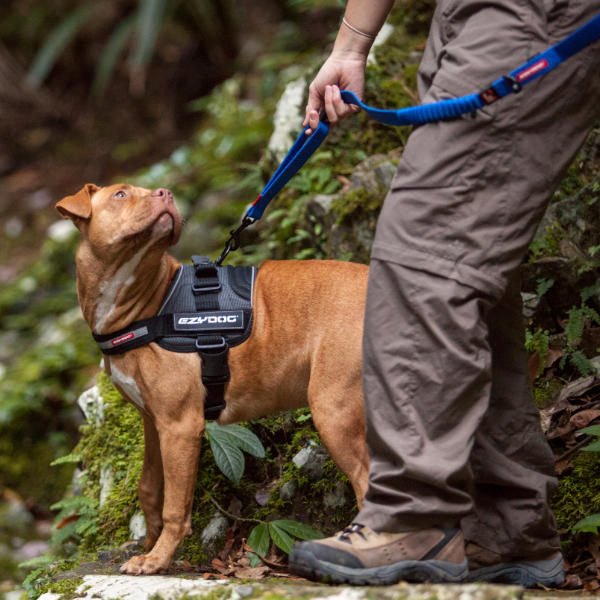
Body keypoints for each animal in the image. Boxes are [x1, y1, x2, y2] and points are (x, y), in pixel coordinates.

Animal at [56, 184, 368, 576]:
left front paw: (158, 559)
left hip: (333, 410)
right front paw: (146, 544)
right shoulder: (153, 421)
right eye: (121, 194)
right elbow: (149, 488)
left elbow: (175, 506)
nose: (165, 192)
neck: (150, 303)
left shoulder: (180, 426)